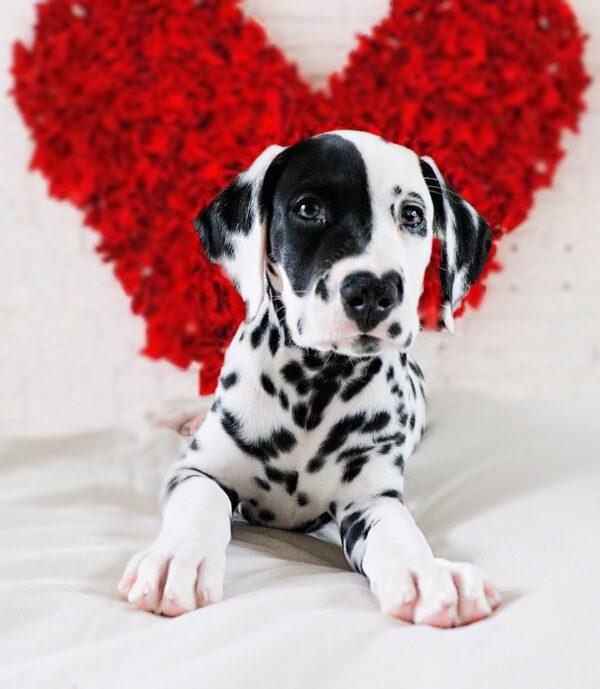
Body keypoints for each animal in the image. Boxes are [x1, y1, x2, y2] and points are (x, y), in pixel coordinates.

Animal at [116, 132, 496, 628]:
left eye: (412, 215)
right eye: (309, 208)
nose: (373, 289)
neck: (315, 386)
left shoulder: (369, 499)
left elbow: (398, 532)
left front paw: (426, 573)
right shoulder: (197, 471)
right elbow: (202, 502)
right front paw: (176, 559)